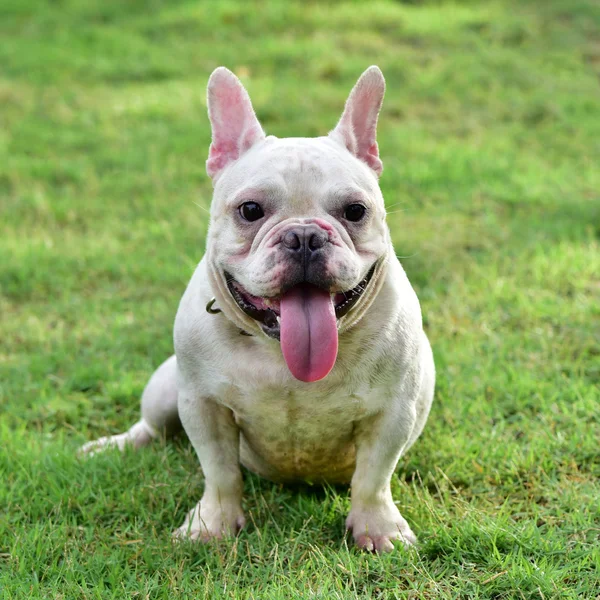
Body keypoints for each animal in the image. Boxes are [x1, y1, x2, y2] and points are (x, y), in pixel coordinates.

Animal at [82, 65, 434, 552]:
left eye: (355, 211)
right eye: (250, 210)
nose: (304, 236)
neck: (280, 355)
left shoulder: (393, 413)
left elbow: (373, 479)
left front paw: (377, 528)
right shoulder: (203, 405)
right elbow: (220, 472)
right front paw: (211, 524)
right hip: (166, 390)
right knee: (150, 428)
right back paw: (113, 446)